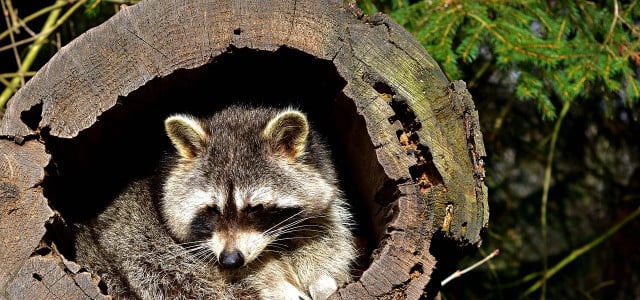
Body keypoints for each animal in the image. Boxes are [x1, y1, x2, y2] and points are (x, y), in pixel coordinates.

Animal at [75, 105, 358, 300]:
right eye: (212, 209)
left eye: (255, 208)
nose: (230, 259)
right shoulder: (158, 247)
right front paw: (275, 286)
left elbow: (326, 238)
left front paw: (321, 278)